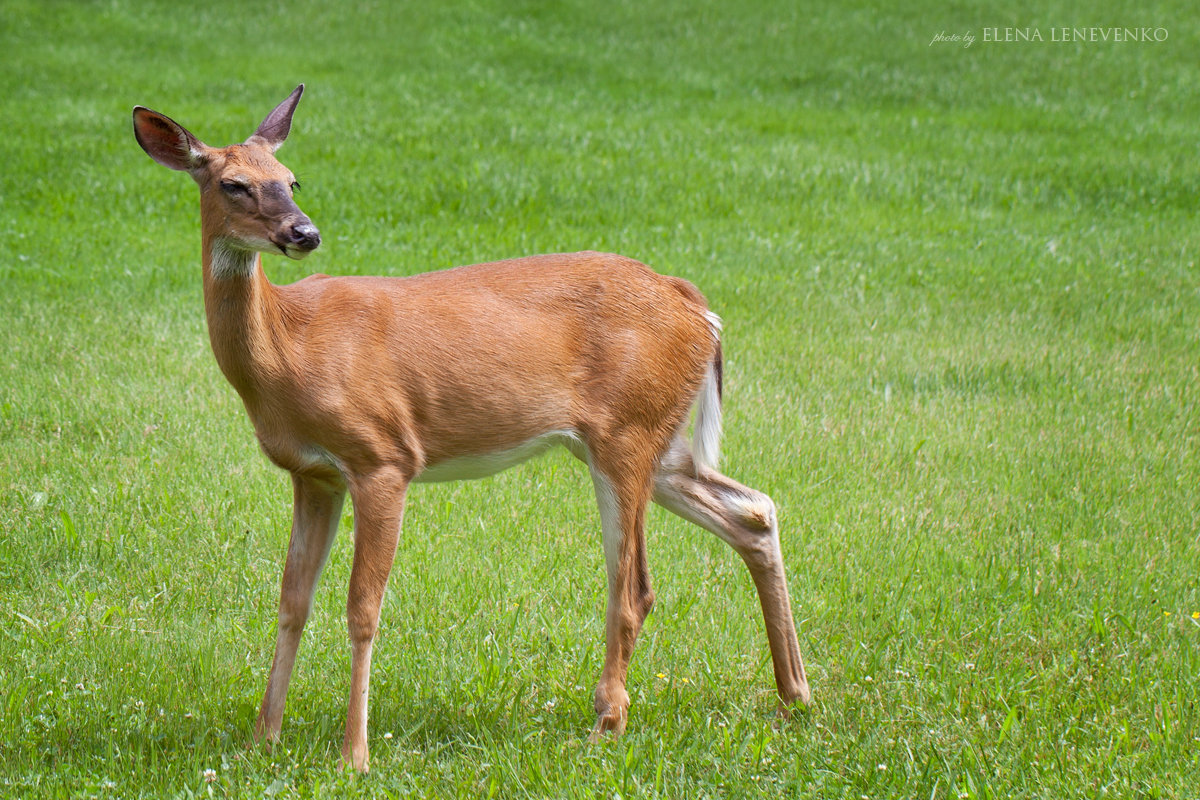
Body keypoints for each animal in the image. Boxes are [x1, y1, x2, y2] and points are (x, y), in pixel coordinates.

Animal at [131, 86, 811, 767]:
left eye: (292, 179)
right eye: (234, 184)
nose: (305, 232)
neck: (287, 347)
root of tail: (695, 305)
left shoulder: (383, 457)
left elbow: (362, 608)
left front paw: (354, 755)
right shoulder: (314, 474)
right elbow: (291, 601)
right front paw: (262, 739)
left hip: (627, 432)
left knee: (635, 587)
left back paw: (607, 723)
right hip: (655, 442)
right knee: (754, 510)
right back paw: (794, 696)